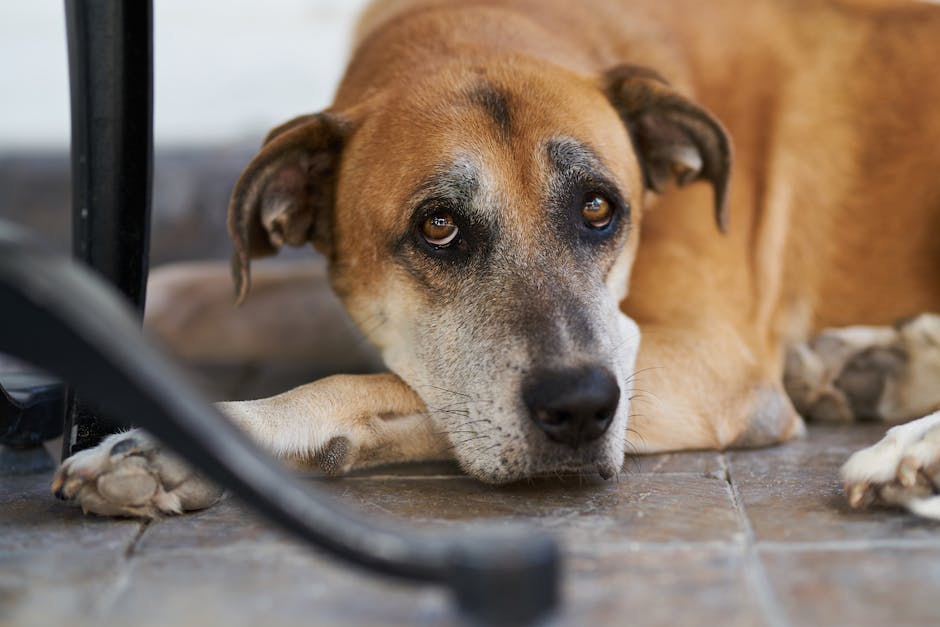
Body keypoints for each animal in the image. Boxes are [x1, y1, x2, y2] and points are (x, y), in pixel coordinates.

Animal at [55, 0, 940, 520]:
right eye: (439, 225)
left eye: (599, 208)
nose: (581, 407)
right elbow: (177, 293)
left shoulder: (710, 361)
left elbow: (387, 387)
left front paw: (187, 443)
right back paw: (875, 365)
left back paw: (911, 445)